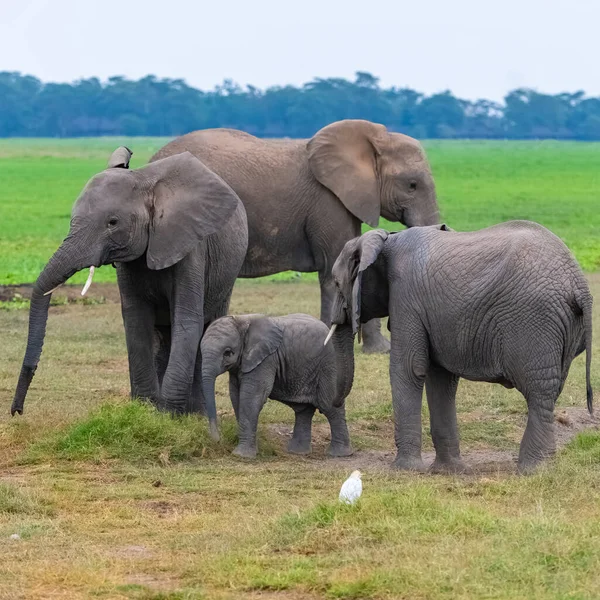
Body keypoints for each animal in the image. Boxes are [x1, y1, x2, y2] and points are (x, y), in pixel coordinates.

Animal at [12, 146, 250, 432]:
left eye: (113, 222)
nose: (16, 411)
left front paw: (167, 418)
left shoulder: (190, 246)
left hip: (226, 276)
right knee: (162, 336)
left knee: (205, 328)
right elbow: (136, 321)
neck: (144, 181)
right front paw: (146, 413)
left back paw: (197, 416)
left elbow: (187, 322)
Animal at [199, 312, 354, 458]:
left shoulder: (266, 359)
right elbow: (236, 396)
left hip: (328, 365)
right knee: (304, 410)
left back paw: (339, 454)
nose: (217, 440)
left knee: (329, 406)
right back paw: (298, 452)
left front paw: (241, 455)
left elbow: (251, 398)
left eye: (228, 353)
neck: (241, 320)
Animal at [328, 220, 596, 474]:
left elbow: (409, 368)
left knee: (539, 393)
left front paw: (405, 470)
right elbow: (441, 377)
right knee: (551, 390)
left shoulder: (406, 296)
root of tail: (580, 286)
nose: (336, 403)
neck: (386, 239)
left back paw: (532, 470)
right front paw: (448, 471)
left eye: (336, 283)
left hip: (534, 321)